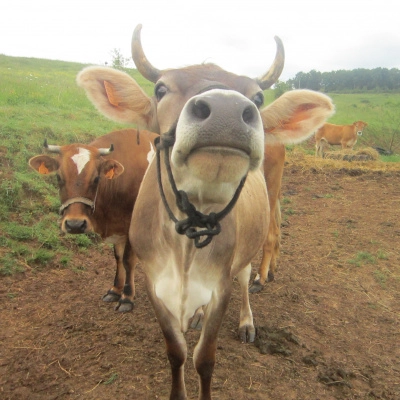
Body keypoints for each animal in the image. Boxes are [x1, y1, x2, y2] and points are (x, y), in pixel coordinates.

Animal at [28, 130, 158, 310]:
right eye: (59, 178)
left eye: (96, 179)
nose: (75, 224)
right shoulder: (118, 227)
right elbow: (118, 257)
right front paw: (115, 290)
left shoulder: (133, 225)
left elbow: (128, 260)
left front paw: (126, 297)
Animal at [76, 25, 334, 400]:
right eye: (161, 88)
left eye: (258, 98)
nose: (227, 110)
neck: (187, 240)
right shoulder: (155, 285)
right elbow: (176, 351)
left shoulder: (219, 288)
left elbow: (204, 358)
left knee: (247, 276)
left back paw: (247, 321)